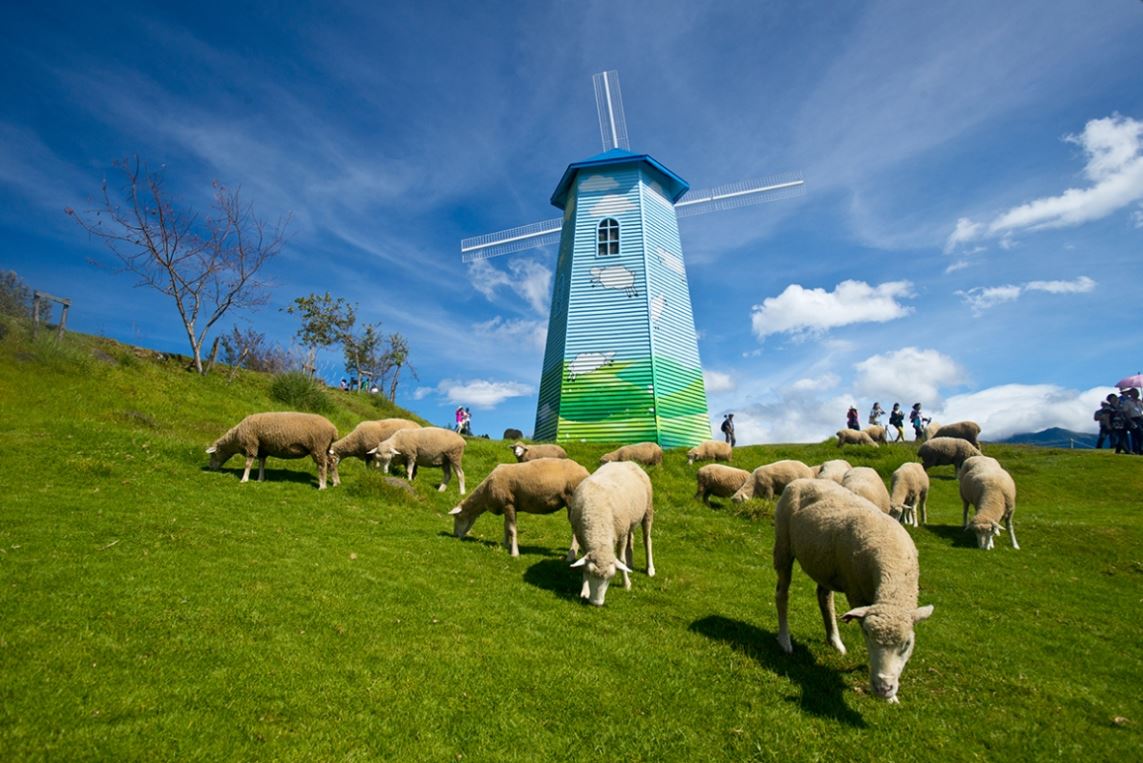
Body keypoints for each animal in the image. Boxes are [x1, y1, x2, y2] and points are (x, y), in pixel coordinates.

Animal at [206, 411, 338, 488]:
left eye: (213, 455)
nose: (211, 468)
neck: (235, 438)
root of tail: (333, 429)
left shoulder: (251, 444)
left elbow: (248, 464)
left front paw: (244, 479)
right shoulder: (262, 450)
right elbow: (261, 464)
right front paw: (260, 479)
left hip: (318, 447)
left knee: (322, 465)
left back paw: (322, 486)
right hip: (325, 448)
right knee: (331, 462)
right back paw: (336, 483)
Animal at [448, 456, 589, 557]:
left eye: (458, 517)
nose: (455, 535)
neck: (485, 494)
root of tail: (585, 471)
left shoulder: (508, 503)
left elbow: (511, 529)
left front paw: (514, 553)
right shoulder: (507, 506)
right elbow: (505, 526)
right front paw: (505, 545)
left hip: (571, 501)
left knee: (575, 531)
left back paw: (570, 556)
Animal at [569, 459, 653, 607]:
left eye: (611, 577)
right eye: (590, 573)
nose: (596, 603)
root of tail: (627, 462)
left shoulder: (621, 535)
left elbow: (621, 559)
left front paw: (626, 584)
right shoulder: (581, 538)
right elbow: (584, 563)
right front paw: (584, 590)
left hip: (647, 510)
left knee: (647, 540)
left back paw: (650, 569)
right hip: (630, 521)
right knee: (632, 539)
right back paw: (630, 564)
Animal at [772, 479, 932, 699]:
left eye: (907, 644)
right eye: (868, 636)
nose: (884, 688)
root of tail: (804, 480)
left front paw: (892, 696)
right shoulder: (856, 593)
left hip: (825, 564)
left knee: (824, 597)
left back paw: (835, 640)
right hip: (783, 545)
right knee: (782, 593)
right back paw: (784, 640)